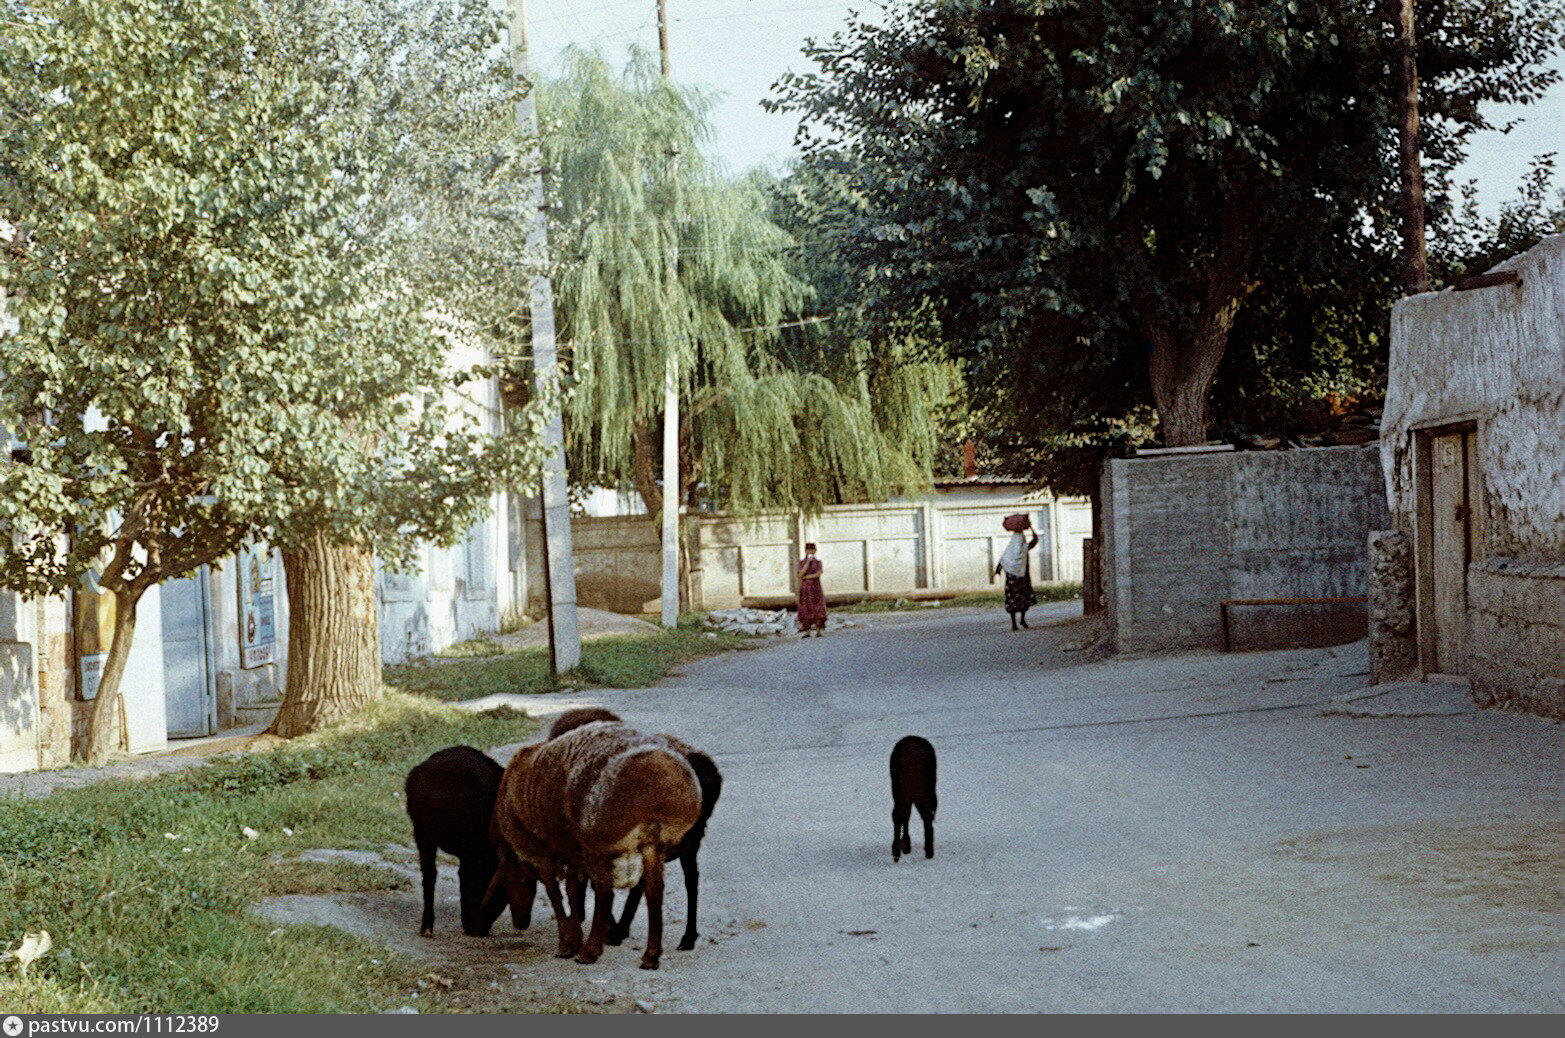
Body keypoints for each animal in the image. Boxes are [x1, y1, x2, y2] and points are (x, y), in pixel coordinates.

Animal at [491, 720, 701, 970]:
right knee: (653, 891)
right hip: (653, 845)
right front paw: (574, 937)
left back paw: (590, 951)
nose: (520, 922)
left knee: (604, 892)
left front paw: (566, 944)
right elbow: (573, 890)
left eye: (510, 883)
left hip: (598, 845)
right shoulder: (573, 852)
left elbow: (556, 894)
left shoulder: (541, 853)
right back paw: (650, 955)